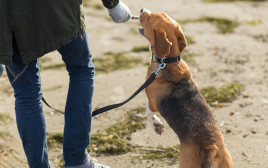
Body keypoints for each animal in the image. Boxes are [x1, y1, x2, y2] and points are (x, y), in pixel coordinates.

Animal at [138, 8, 232, 167]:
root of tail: (210, 147)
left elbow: (148, 112)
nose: (142, 10)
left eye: (149, 18)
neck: (169, 63)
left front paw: (156, 125)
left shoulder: (152, 101)